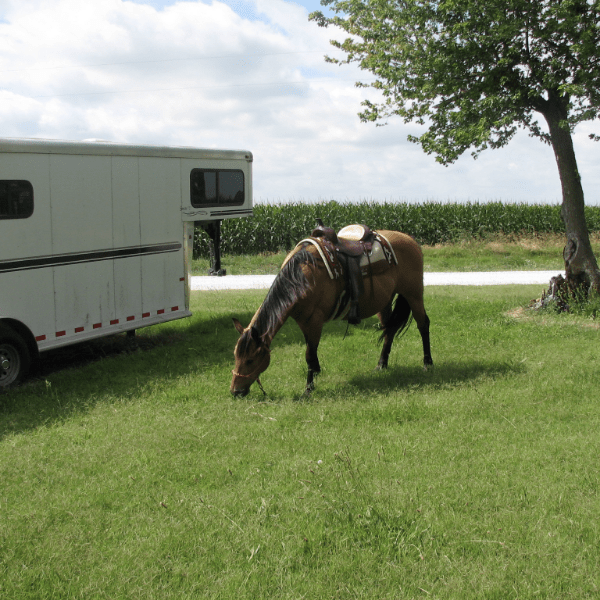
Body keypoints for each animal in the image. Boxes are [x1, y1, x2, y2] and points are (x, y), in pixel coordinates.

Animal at [230, 227, 432, 396]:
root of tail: (411, 240)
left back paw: (427, 363)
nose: (235, 391)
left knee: (423, 324)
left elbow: (309, 354)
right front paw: (315, 374)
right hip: (385, 301)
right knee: (389, 329)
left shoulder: (315, 320)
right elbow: (311, 352)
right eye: (235, 356)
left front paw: (308, 389)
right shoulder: (304, 322)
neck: (302, 274)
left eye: (250, 360)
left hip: (413, 294)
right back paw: (381, 365)